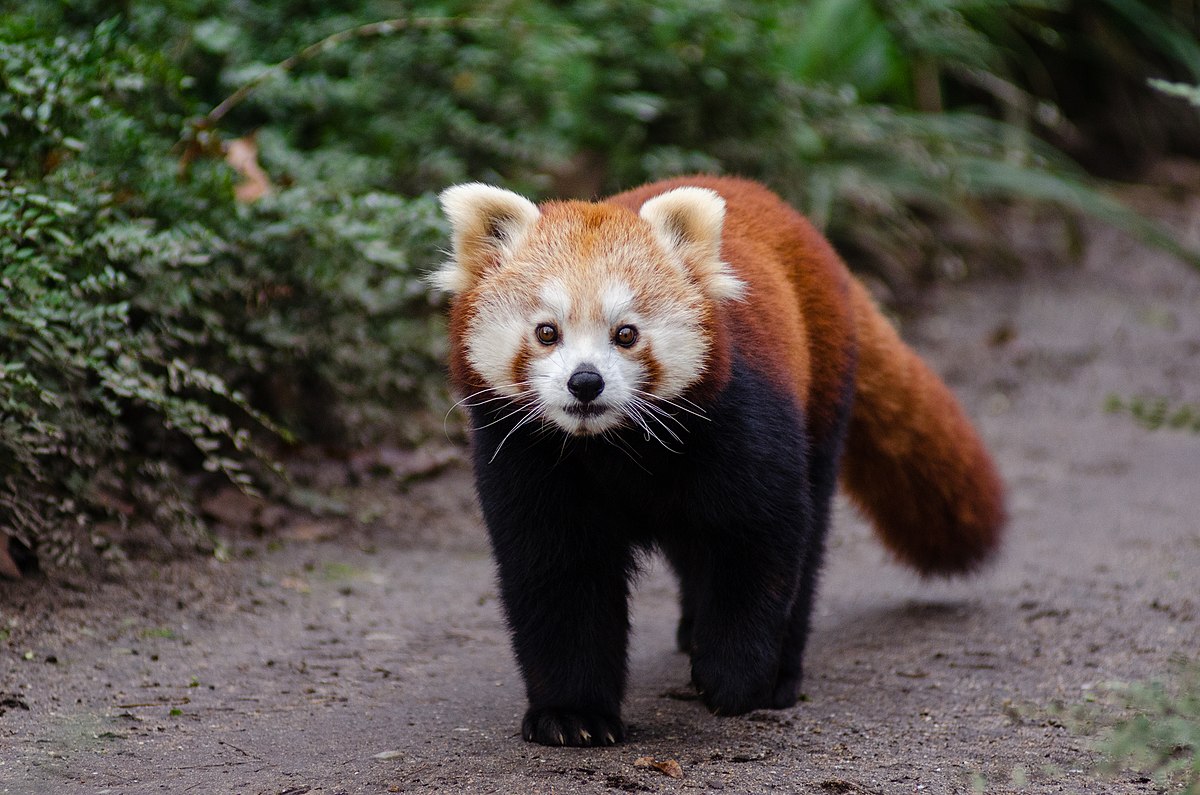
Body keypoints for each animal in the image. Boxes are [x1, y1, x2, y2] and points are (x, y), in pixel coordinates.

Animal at [432, 174, 1003, 749]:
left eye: (626, 333)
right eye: (546, 332)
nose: (585, 382)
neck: (612, 445)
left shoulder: (740, 422)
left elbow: (759, 545)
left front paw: (735, 678)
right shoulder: (528, 458)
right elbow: (559, 577)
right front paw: (572, 714)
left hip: (821, 389)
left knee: (808, 535)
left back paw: (779, 672)